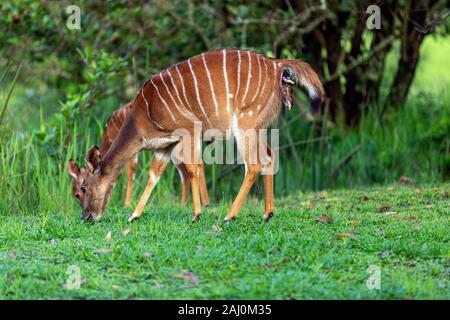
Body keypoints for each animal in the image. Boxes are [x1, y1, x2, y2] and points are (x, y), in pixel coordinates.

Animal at [67, 101, 210, 214]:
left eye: (78, 193)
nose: (84, 212)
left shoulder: (133, 148)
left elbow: (129, 172)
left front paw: (126, 204)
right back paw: (192, 203)